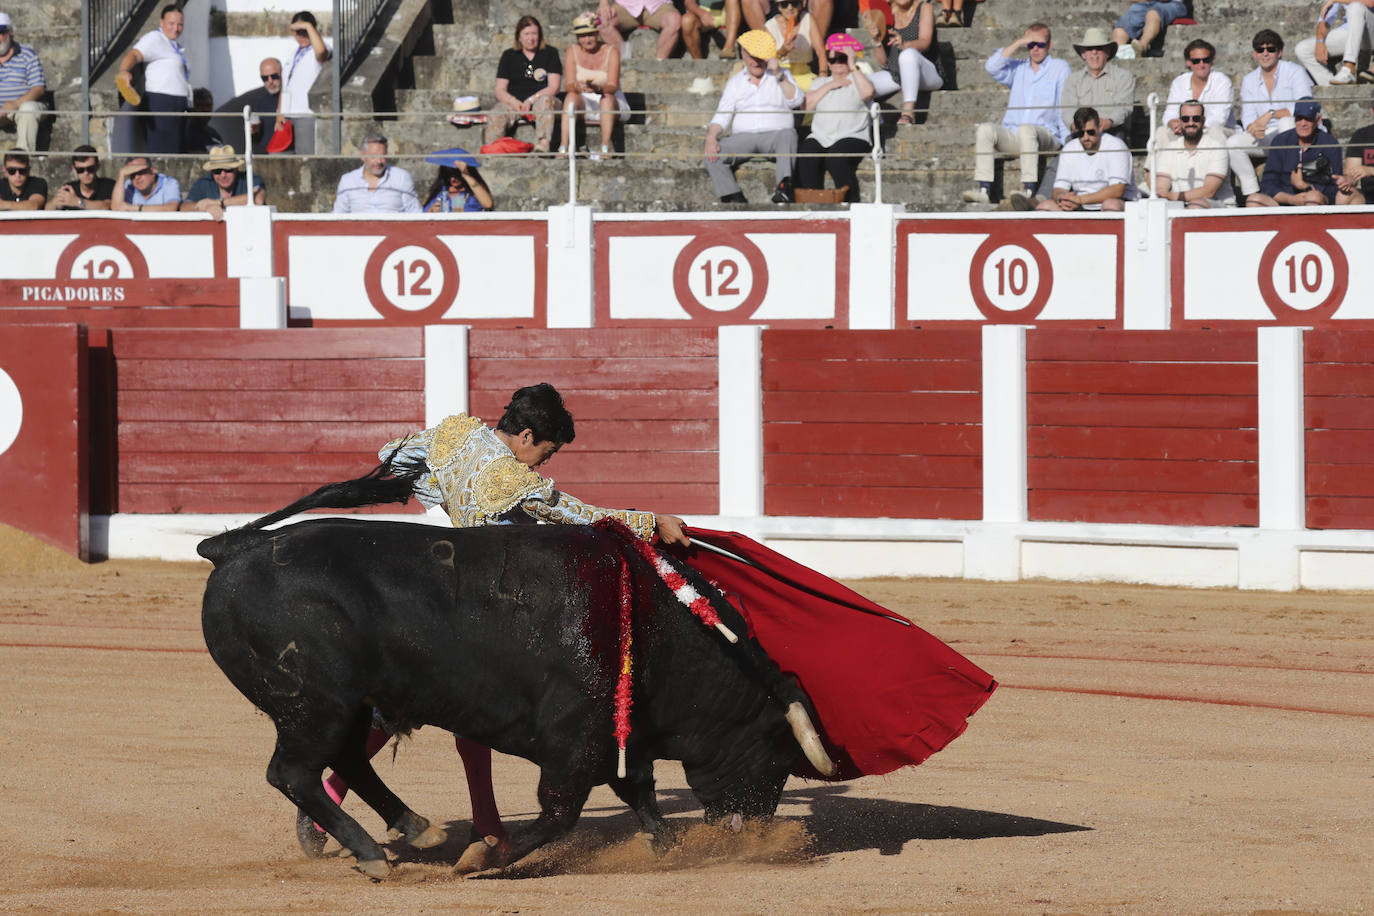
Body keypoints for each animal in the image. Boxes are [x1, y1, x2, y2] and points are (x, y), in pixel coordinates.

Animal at [200, 519, 829, 878]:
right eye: (778, 759)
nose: (756, 831)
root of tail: (232, 548)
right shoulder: (576, 740)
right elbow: (560, 811)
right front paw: (486, 857)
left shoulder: (618, 735)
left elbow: (640, 792)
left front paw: (667, 846)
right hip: (314, 704)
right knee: (293, 772)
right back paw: (375, 855)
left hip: (346, 703)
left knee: (348, 758)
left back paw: (416, 828)